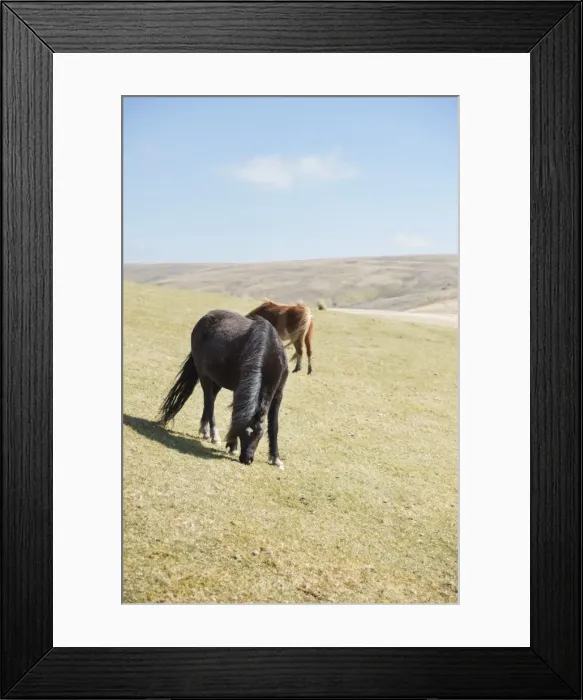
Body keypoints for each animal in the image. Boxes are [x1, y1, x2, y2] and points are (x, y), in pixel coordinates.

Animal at [157, 310, 288, 468]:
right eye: (242, 433)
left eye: (259, 433)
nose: (246, 459)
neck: (268, 351)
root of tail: (205, 318)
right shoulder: (239, 389)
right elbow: (235, 417)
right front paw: (232, 446)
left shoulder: (278, 393)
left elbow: (274, 426)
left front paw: (276, 458)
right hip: (205, 376)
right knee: (209, 402)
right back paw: (214, 435)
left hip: (217, 381)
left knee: (211, 400)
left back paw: (204, 431)